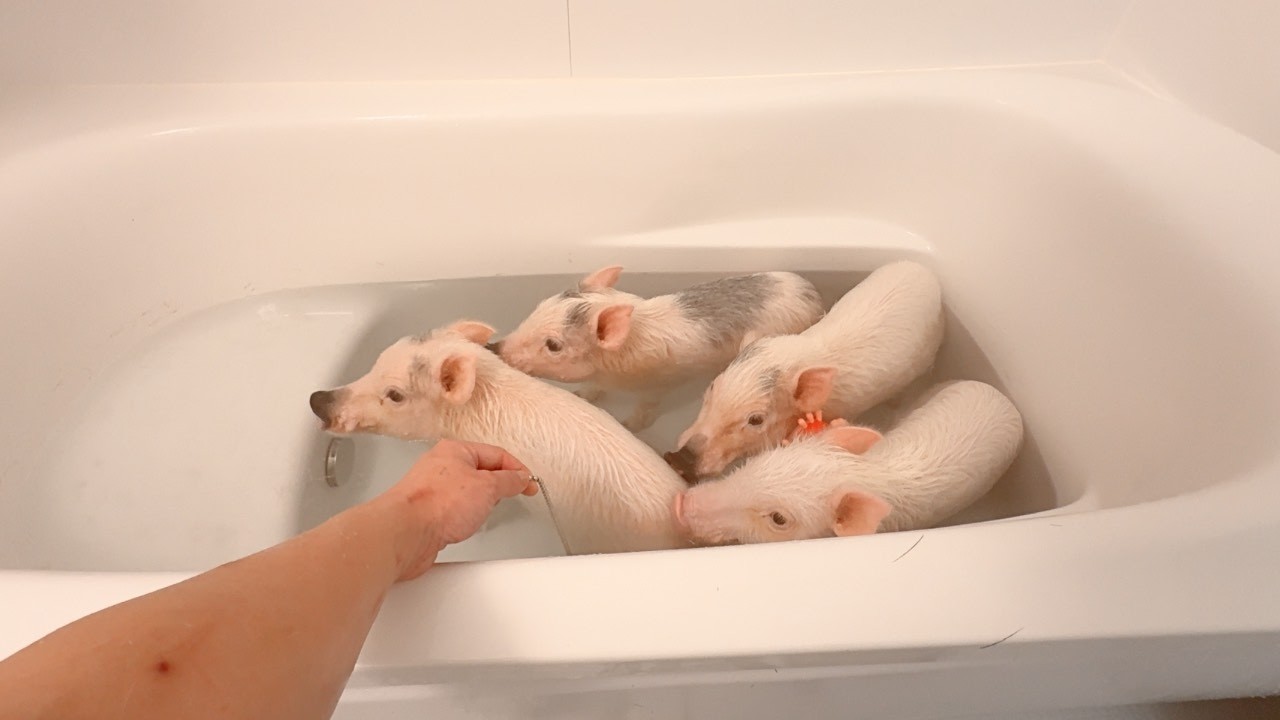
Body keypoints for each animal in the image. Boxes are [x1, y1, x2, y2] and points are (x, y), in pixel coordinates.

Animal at [491, 266, 825, 432]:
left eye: (554, 345)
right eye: (539, 307)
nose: (495, 347)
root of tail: (812, 293)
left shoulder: (656, 386)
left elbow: (646, 407)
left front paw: (630, 426)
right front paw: (582, 396)